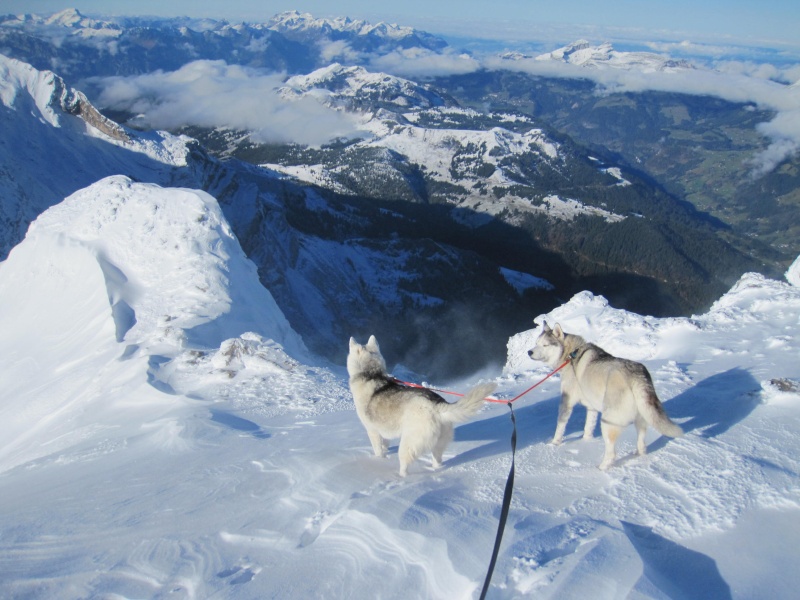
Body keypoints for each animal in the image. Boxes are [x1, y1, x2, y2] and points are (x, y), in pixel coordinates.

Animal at [348, 336, 496, 476]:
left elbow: (378, 450)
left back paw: (401, 477)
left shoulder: (373, 431)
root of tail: (436, 405)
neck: (370, 374)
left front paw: (379, 460)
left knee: (405, 463)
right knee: (437, 460)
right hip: (438, 444)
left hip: (409, 443)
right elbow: (385, 445)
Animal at [532, 324, 680, 468]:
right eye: (536, 343)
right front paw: (586, 441)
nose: (529, 352)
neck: (571, 354)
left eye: (545, 345)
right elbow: (588, 427)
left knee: (611, 453)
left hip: (608, 423)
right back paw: (639, 455)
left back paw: (601, 468)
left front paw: (554, 443)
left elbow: (560, 426)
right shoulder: (591, 407)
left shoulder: (566, 402)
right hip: (641, 418)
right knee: (641, 443)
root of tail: (636, 376)